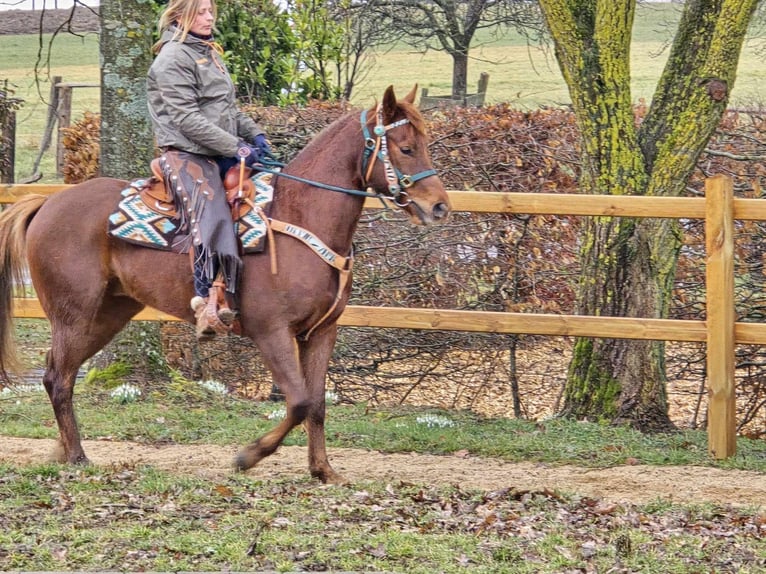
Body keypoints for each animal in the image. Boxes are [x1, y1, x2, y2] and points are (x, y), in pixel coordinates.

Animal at [0, 83, 450, 484]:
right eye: (406, 148)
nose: (439, 207)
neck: (299, 215)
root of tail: (48, 202)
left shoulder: (321, 333)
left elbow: (318, 404)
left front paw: (323, 470)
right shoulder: (271, 331)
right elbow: (299, 401)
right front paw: (248, 456)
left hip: (107, 316)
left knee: (61, 372)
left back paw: (64, 450)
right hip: (74, 315)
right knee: (57, 377)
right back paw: (77, 455)